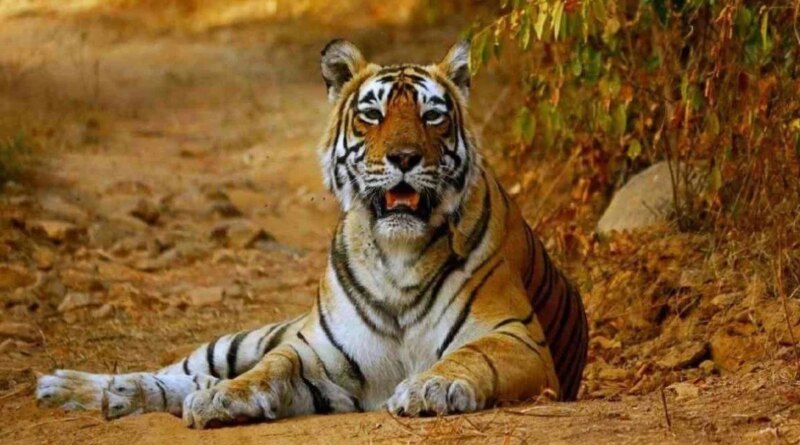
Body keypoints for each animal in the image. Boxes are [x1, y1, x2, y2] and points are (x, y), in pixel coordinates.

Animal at [35, 39, 588, 428]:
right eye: (372, 115)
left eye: (433, 116)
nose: (404, 158)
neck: (398, 254)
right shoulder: (315, 351)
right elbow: (271, 368)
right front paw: (223, 397)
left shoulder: (517, 336)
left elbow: (471, 356)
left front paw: (428, 388)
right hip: (239, 339)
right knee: (185, 367)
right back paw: (74, 388)